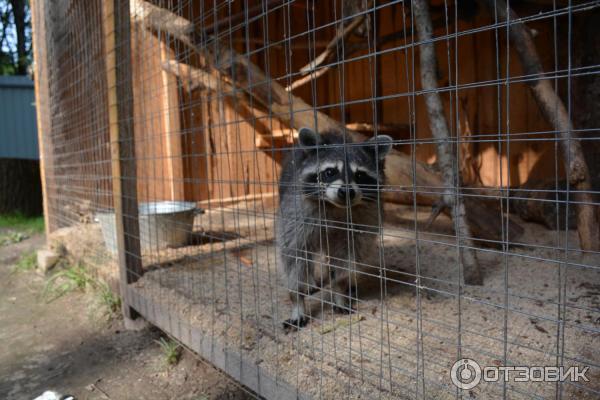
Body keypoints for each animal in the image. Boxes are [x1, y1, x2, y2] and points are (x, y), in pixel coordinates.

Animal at [276, 126, 394, 330]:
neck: (336, 207)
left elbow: (347, 258)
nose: (346, 192)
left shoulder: (363, 220)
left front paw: (339, 290)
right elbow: (294, 255)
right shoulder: (297, 213)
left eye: (360, 175)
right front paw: (297, 301)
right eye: (330, 172)